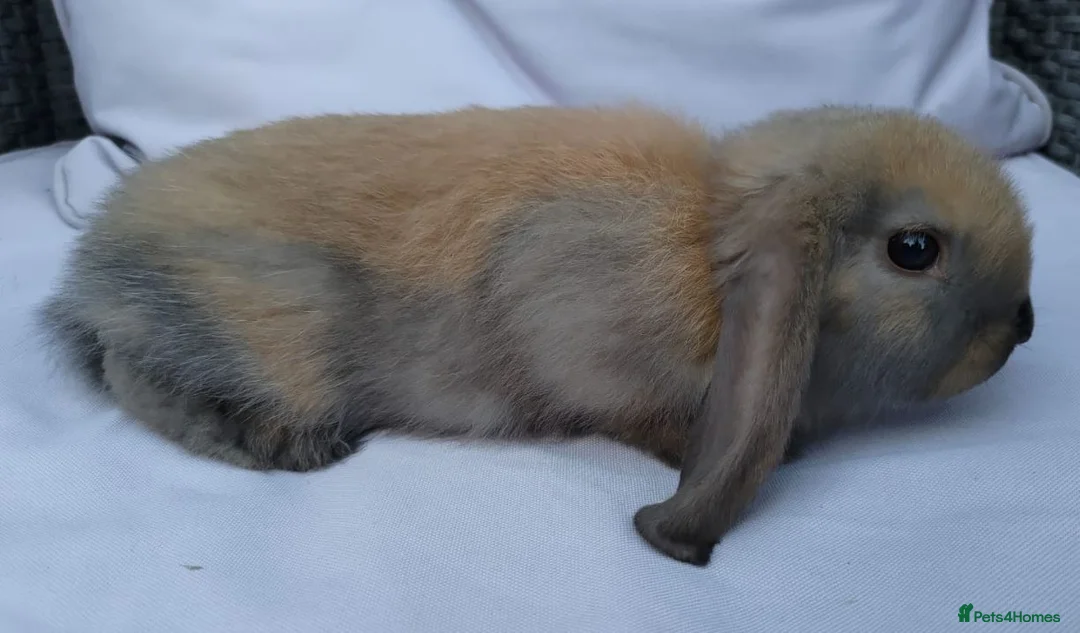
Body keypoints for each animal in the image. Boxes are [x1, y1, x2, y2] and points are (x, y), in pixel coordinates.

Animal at [38, 104, 1035, 566]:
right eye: (914, 248)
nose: (1022, 327)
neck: (703, 244)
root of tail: (94, 263)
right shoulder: (581, 337)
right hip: (268, 329)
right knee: (134, 374)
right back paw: (290, 444)